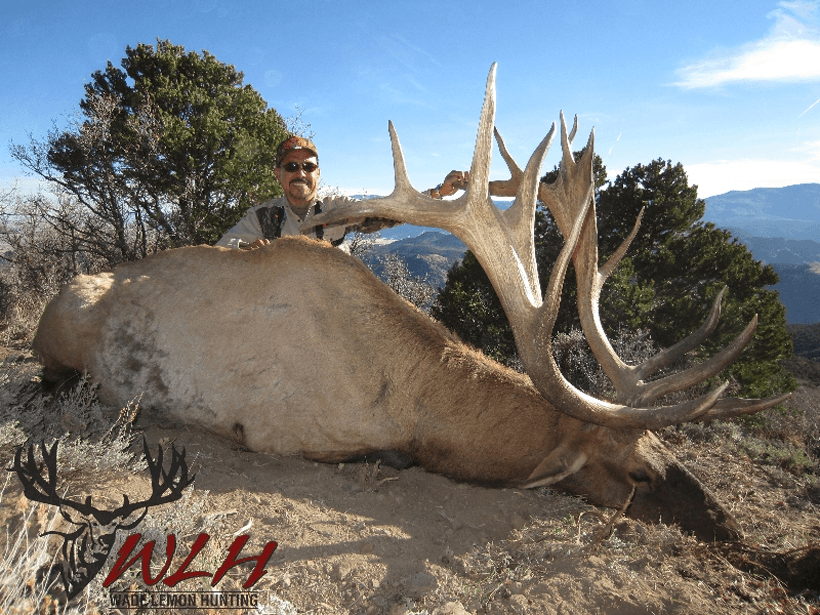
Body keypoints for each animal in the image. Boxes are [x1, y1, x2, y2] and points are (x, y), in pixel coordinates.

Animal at [32, 65, 790, 542]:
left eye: (664, 447)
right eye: (639, 471)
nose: (729, 525)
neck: (409, 397)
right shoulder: (285, 431)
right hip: (60, 342)